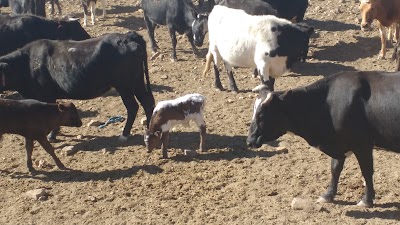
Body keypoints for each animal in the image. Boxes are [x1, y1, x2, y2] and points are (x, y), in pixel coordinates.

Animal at [0, 31, 155, 142]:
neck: (26, 63)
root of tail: (129, 36)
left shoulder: (47, 96)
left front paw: (51, 135)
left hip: (124, 86)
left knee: (133, 106)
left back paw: (124, 134)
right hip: (137, 82)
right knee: (147, 102)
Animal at [247, 71, 400, 207]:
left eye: (261, 114)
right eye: (253, 112)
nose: (250, 140)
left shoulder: (363, 145)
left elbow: (366, 171)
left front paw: (366, 200)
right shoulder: (339, 143)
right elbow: (335, 169)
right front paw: (328, 195)